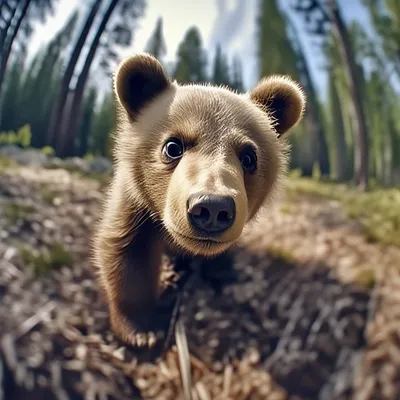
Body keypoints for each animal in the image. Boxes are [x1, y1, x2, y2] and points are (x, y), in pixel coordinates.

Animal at [91, 52, 306, 346]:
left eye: (249, 157)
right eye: (172, 146)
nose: (212, 208)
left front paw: (221, 270)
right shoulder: (134, 205)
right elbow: (126, 254)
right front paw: (142, 330)